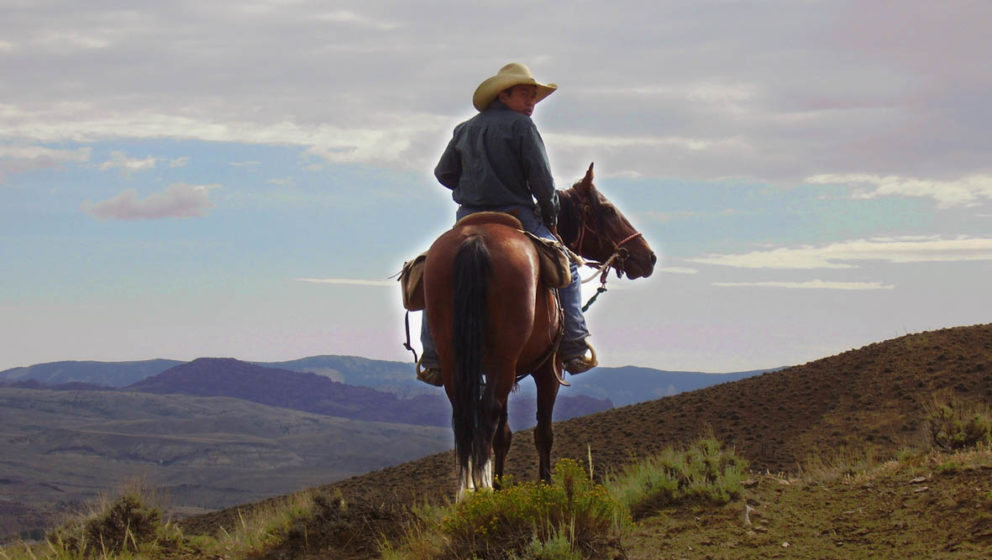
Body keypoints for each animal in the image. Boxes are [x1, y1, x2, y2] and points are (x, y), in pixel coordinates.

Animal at [422, 163, 656, 498]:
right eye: (609, 210)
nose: (648, 257)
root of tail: (475, 240)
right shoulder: (548, 369)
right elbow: (543, 432)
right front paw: (544, 486)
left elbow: (503, 435)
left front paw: (501, 486)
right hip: (504, 359)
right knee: (488, 412)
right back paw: (481, 489)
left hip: (458, 358)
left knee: (465, 414)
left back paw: (468, 492)